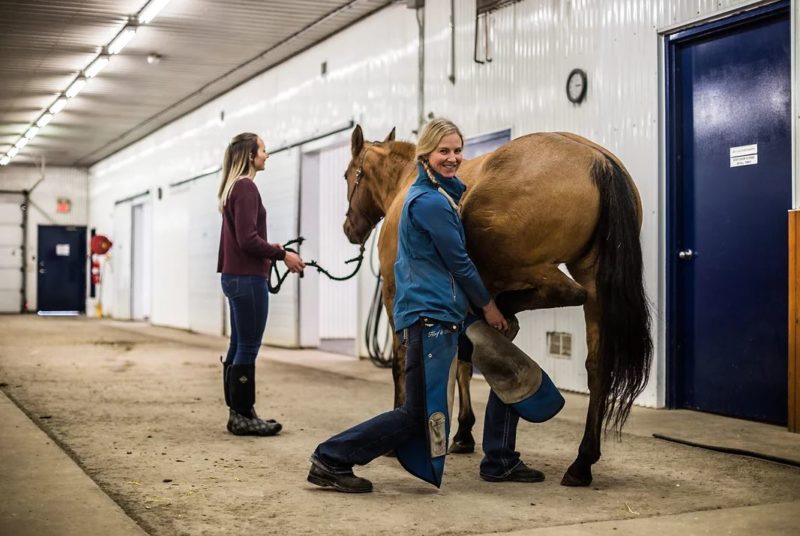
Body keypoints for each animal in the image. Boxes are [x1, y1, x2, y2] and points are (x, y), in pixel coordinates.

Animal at [340, 125, 652, 486]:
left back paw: (508, 310)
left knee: (569, 293)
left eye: (348, 175)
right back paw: (582, 462)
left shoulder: (395, 296)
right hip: (591, 275)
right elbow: (463, 364)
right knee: (597, 366)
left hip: (520, 263)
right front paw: (463, 432)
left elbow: (401, 362)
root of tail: (598, 160)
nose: (349, 228)